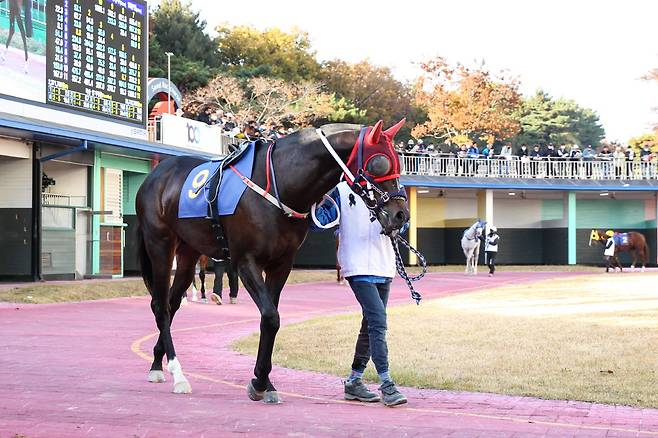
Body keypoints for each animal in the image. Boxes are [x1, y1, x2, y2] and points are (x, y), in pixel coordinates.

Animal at [136, 121, 408, 402]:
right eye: (381, 163)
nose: (400, 215)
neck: (279, 184)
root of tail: (156, 174)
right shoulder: (246, 261)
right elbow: (270, 317)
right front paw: (259, 381)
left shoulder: (281, 264)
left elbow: (271, 318)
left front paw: (264, 382)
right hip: (160, 244)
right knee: (161, 306)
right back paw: (177, 374)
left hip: (189, 252)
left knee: (172, 303)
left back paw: (157, 362)